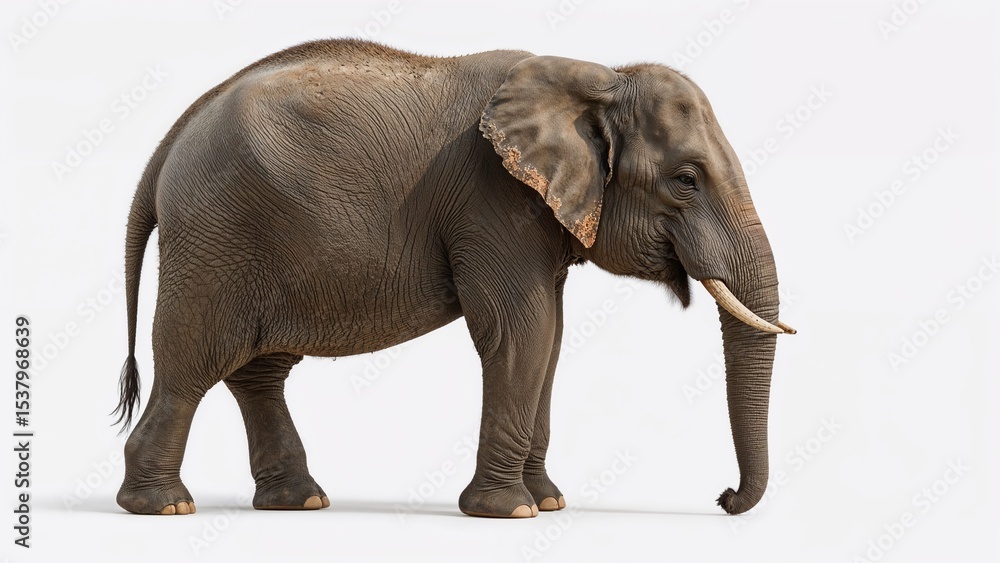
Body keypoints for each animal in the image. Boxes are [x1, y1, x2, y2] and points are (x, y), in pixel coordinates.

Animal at [113, 39, 794, 518]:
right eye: (686, 180)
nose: (723, 496)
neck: (597, 76)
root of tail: (169, 142)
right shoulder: (493, 202)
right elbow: (521, 330)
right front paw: (510, 512)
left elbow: (552, 337)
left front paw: (548, 502)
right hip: (215, 238)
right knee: (193, 359)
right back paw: (164, 506)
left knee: (259, 369)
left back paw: (299, 501)